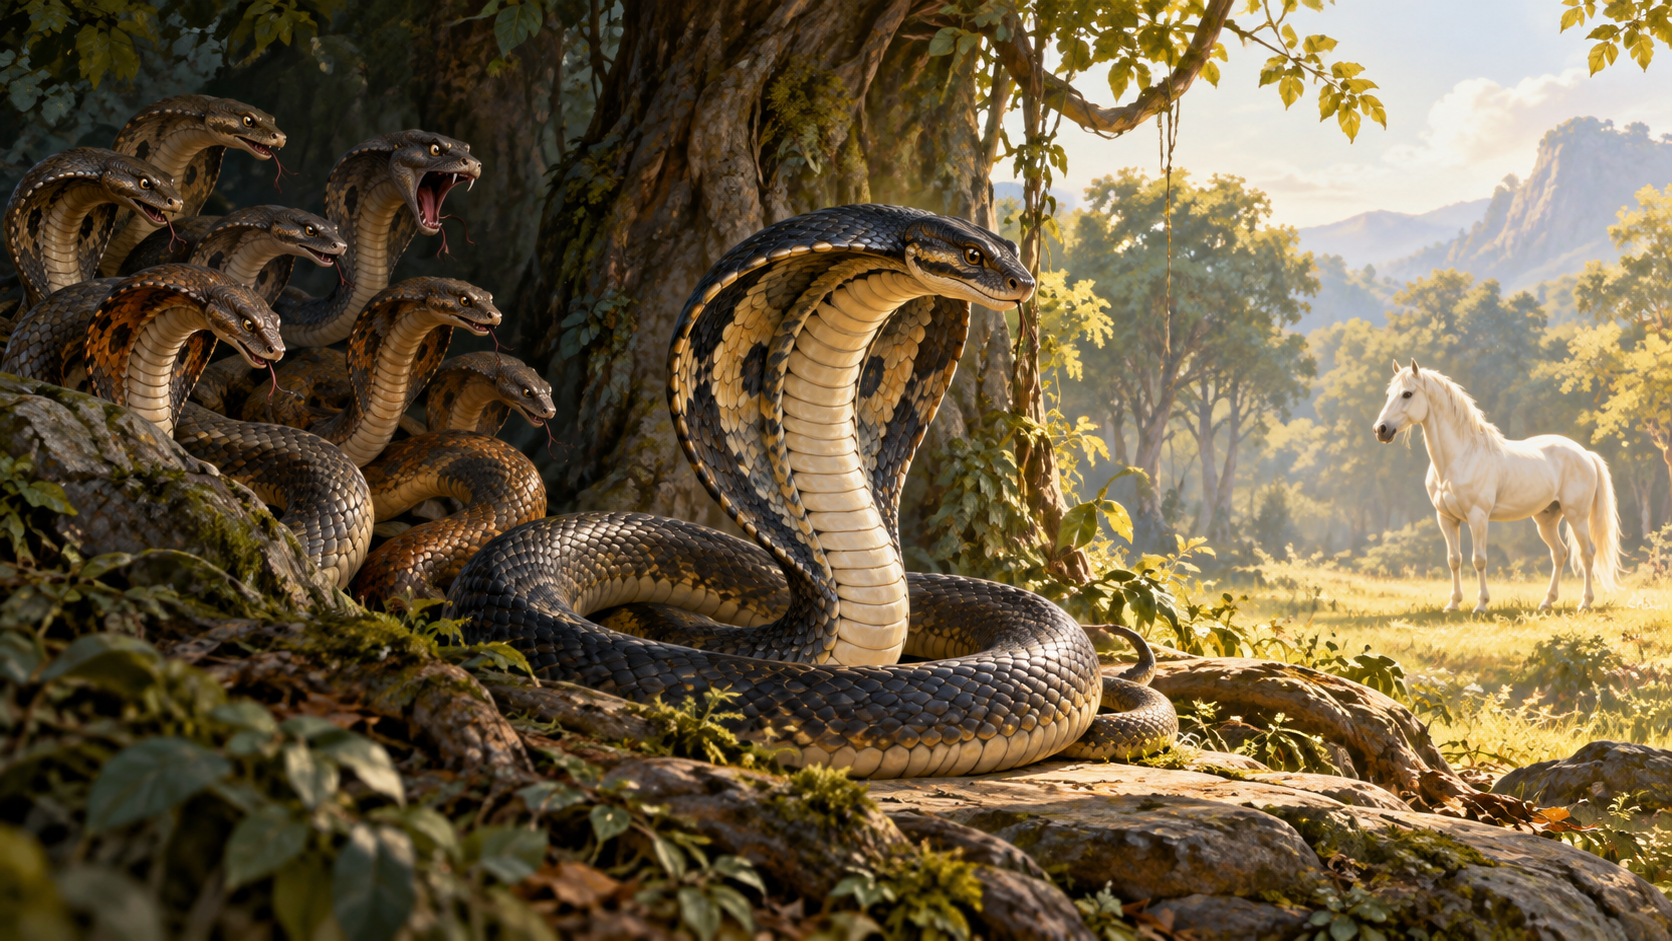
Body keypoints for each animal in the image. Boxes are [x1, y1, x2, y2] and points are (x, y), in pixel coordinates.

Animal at [1372, 359, 1620, 612]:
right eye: (1388, 394)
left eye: (1407, 394)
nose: (1380, 429)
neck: (1459, 458)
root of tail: (1586, 454)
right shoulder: (1446, 518)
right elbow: (1454, 560)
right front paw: (1453, 603)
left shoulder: (1478, 517)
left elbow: (1479, 560)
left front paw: (1481, 605)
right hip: (1546, 519)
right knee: (1559, 553)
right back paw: (1547, 602)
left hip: (1576, 516)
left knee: (1587, 553)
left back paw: (1585, 603)